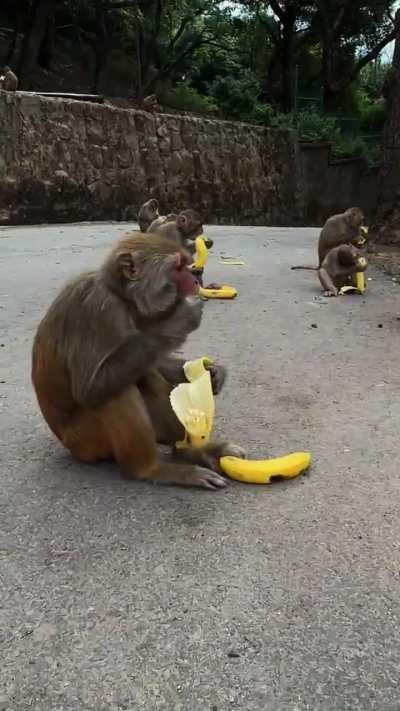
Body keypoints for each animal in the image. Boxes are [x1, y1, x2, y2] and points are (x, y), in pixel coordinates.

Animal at [31, 232, 244, 490]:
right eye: (178, 267)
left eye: (187, 263)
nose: (195, 281)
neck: (121, 298)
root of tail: (68, 444)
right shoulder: (95, 307)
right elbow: (89, 389)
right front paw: (181, 319)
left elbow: (153, 359)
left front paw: (212, 370)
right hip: (86, 443)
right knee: (116, 392)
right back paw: (152, 470)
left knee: (145, 376)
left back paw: (191, 452)